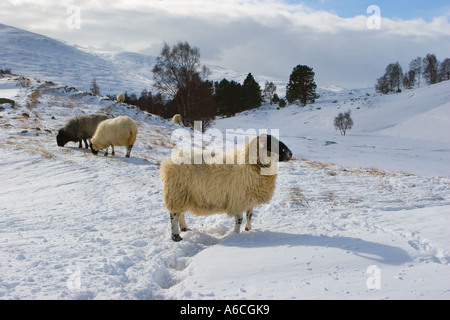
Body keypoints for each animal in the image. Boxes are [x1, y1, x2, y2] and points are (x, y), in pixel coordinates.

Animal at [160, 134, 294, 241]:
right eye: (273, 144)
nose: (290, 154)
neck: (251, 163)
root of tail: (168, 163)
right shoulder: (238, 199)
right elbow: (239, 218)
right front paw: (236, 234)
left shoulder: (249, 198)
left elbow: (249, 215)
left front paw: (248, 230)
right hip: (176, 193)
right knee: (174, 215)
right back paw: (176, 236)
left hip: (184, 195)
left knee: (181, 213)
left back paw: (185, 228)